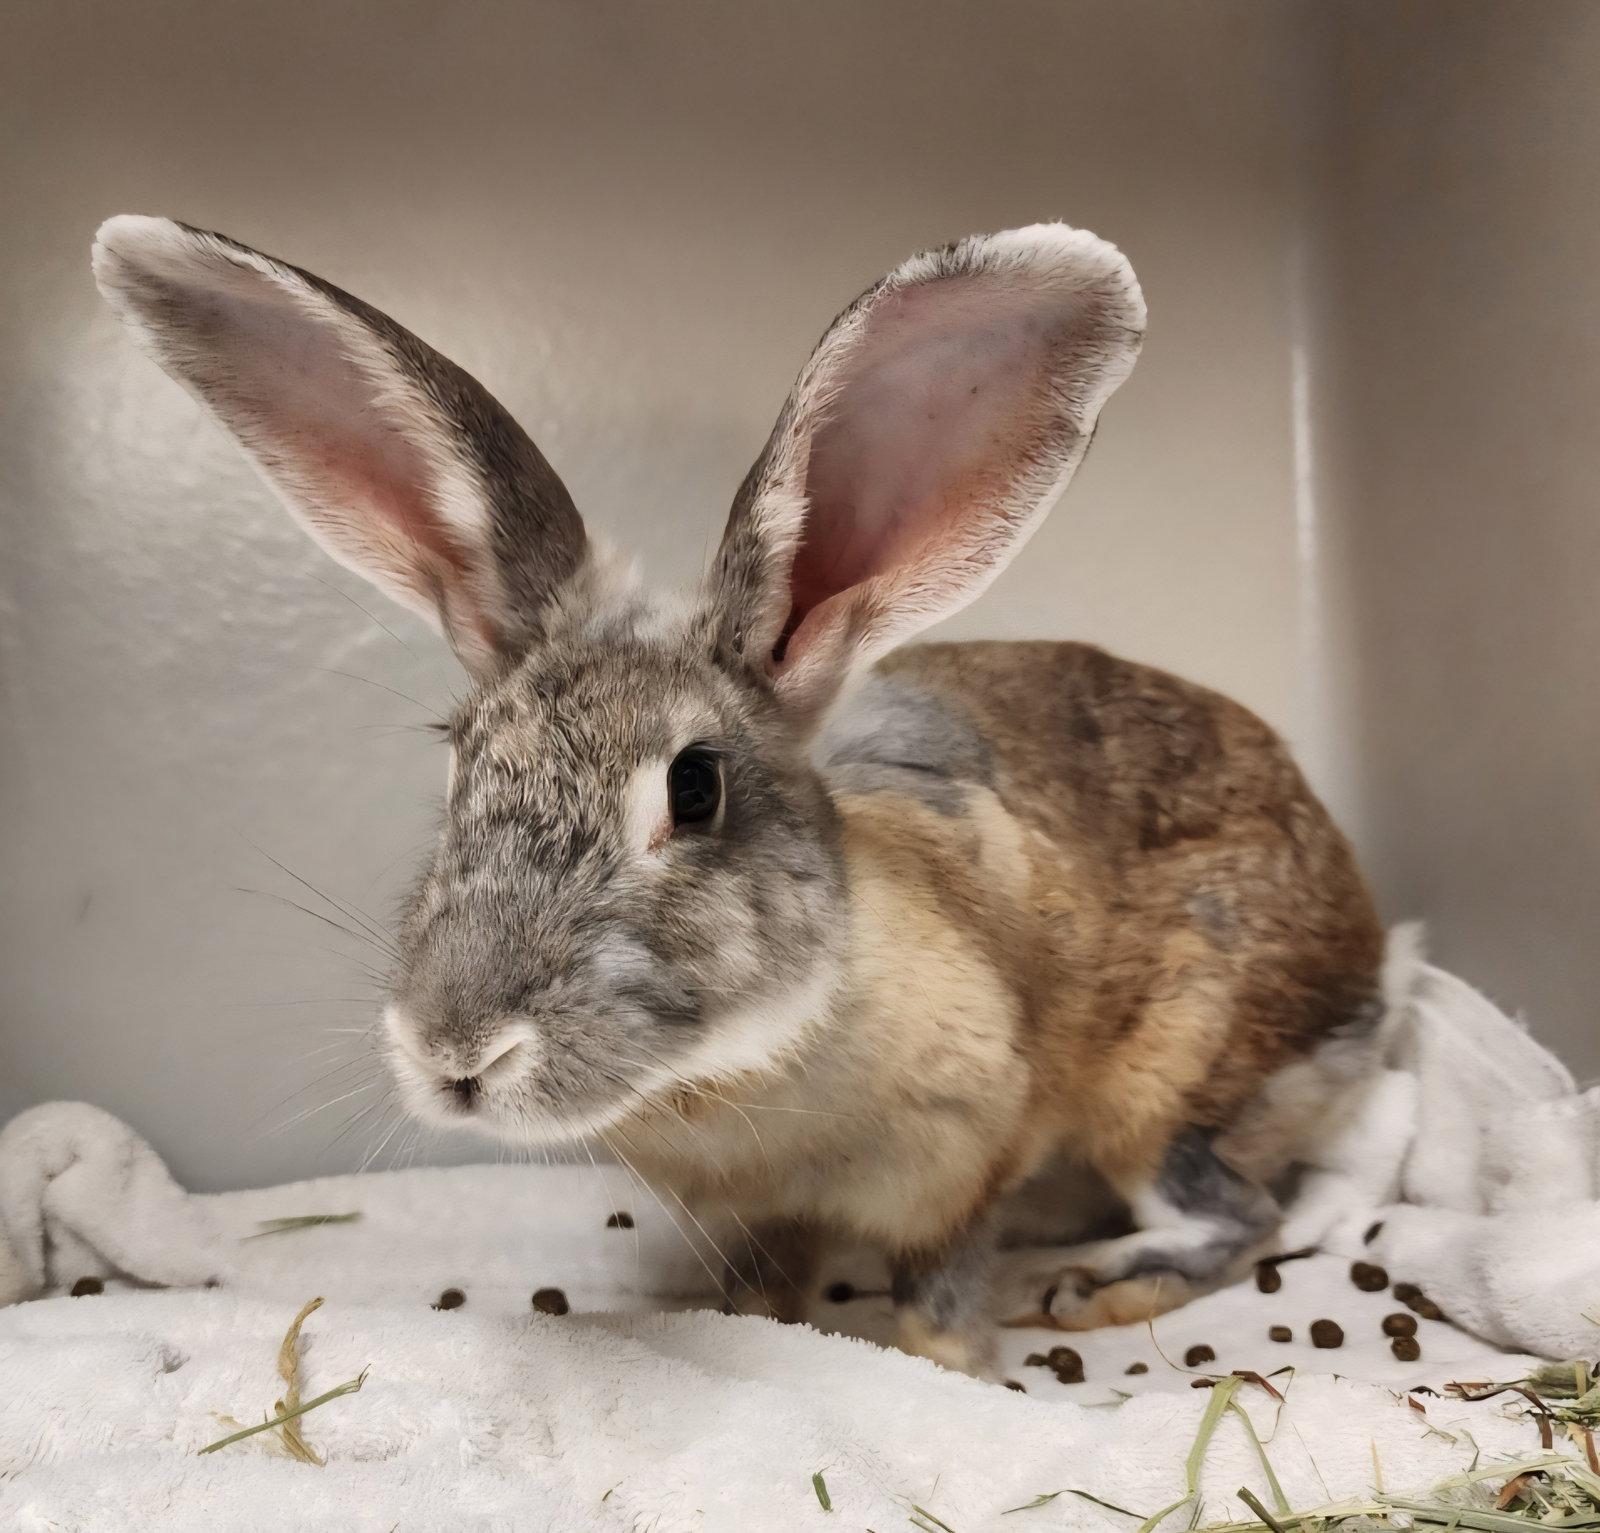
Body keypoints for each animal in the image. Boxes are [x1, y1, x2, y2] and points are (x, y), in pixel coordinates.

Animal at [93, 215, 1385, 1378]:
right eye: (458, 760)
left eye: (696, 786)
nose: (455, 1052)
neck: (742, 1071)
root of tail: (1371, 965)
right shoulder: (752, 1214)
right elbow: (764, 1292)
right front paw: (756, 1328)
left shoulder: (961, 1169)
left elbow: (941, 1300)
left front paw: (953, 1370)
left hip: (1166, 1090)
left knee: (1236, 1212)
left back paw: (1084, 1283)